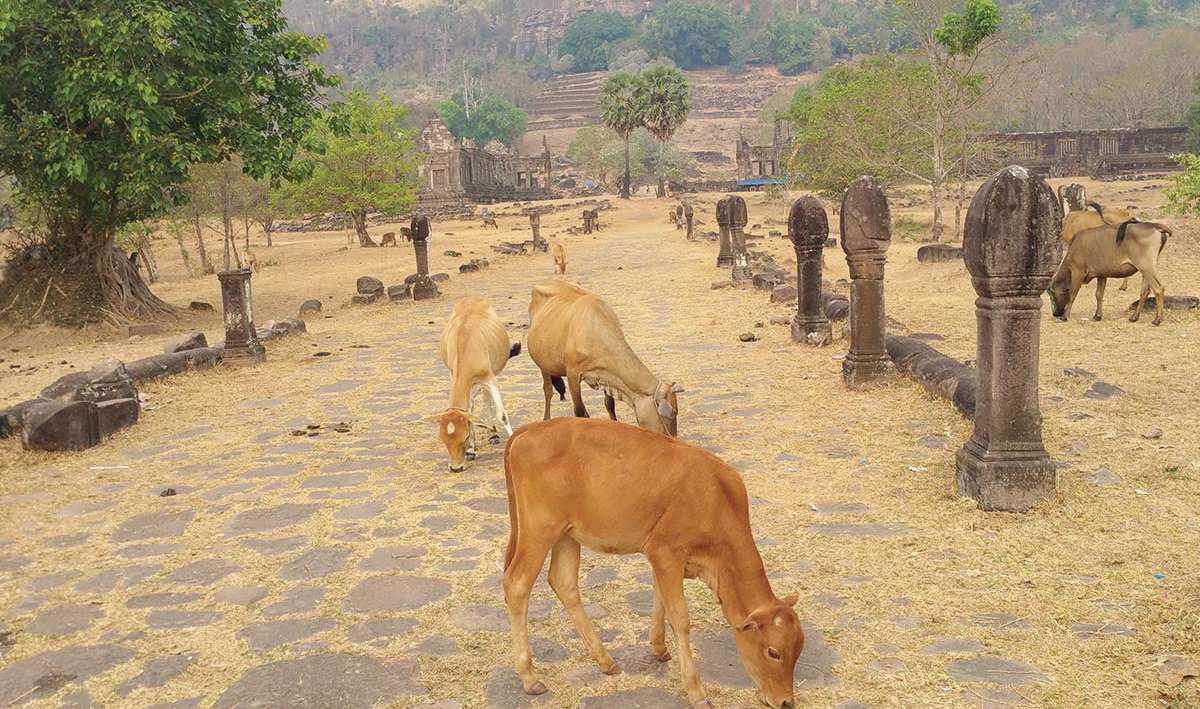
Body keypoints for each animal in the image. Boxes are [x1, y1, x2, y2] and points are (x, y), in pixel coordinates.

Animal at [434, 295, 523, 472]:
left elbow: (502, 415)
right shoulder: (458, 378)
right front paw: (471, 450)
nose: (455, 468)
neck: (465, 342)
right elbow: (470, 412)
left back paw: (494, 433)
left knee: (487, 396)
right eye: (443, 439)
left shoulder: (490, 378)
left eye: (465, 436)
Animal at [501, 419, 801, 705]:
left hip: (567, 534)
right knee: (517, 584)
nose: (786, 701)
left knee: (563, 583)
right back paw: (529, 677)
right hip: (539, 530)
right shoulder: (666, 551)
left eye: (799, 649)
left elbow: (660, 599)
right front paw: (696, 691)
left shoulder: (661, 556)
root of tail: (531, 428)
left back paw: (605, 660)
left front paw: (659, 649)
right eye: (773, 652)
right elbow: (680, 617)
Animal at [530, 278, 681, 436]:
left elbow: (610, 405)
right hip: (542, 364)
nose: (672, 438)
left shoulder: (606, 376)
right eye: (672, 412)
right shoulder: (572, 375)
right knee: (548, 390)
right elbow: (580, 412)